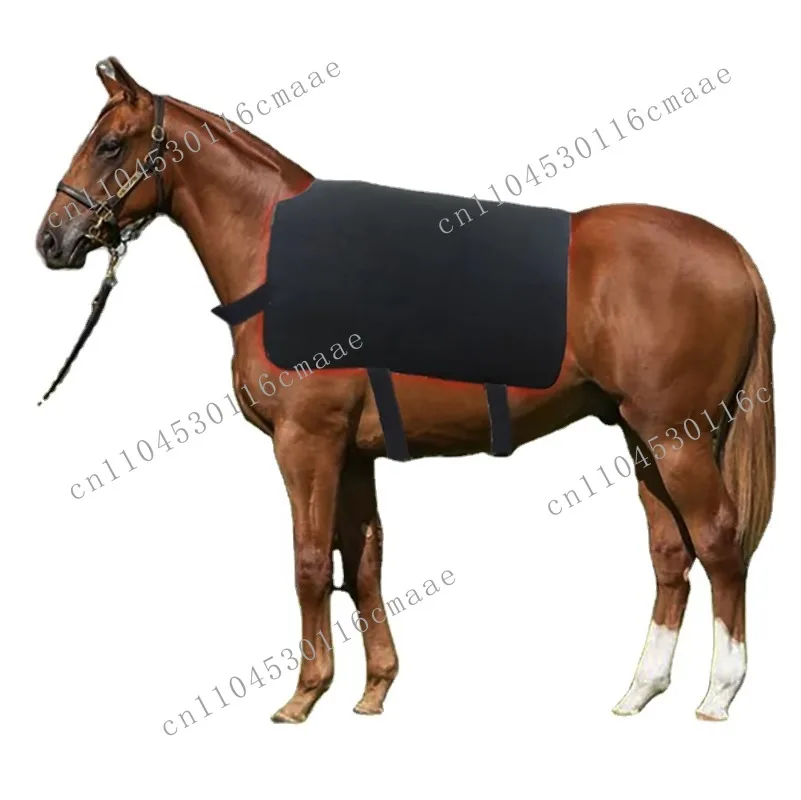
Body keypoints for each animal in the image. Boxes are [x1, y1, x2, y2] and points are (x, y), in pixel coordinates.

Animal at [36, 58, 775, 724]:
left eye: (109, 144)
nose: (50, 240)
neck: (286, 260)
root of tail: (731, 253)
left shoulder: (305, 444)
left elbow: (310, 563)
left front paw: (304, 696)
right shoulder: (352, 454)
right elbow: (364, 565)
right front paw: (373, 690)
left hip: (676, 440)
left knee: (717, 543)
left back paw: (718, 695)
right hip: (643, 438)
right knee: (671, 554)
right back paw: (639, 691)